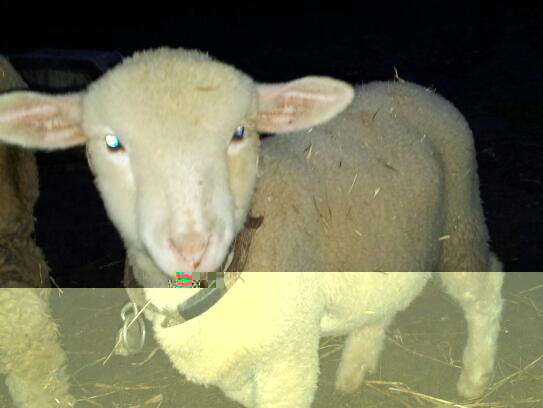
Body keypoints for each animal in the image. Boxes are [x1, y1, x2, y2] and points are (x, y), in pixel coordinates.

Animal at [0, 48, 504, 407]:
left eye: (239, 133)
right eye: (112, 143)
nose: (192, 245)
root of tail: (410, 86)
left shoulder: (289, 359)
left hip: (460, 222)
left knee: (485, 289)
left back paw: (474, 380)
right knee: (378, 307)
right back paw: (353, 373)